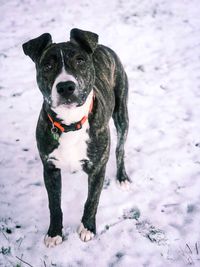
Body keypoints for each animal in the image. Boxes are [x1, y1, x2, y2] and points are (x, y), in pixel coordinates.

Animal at [22, 28, 130, 248]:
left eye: (80, 61)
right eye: (47, 65)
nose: (65, 87)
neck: (70, 123)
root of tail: (101, 46)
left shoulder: (97, 168)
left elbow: (92, 200)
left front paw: (88, 228)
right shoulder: (50, 168)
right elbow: (54, 205)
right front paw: (54, 233)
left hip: (122, 114)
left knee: (120, 148)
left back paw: (122, 177)